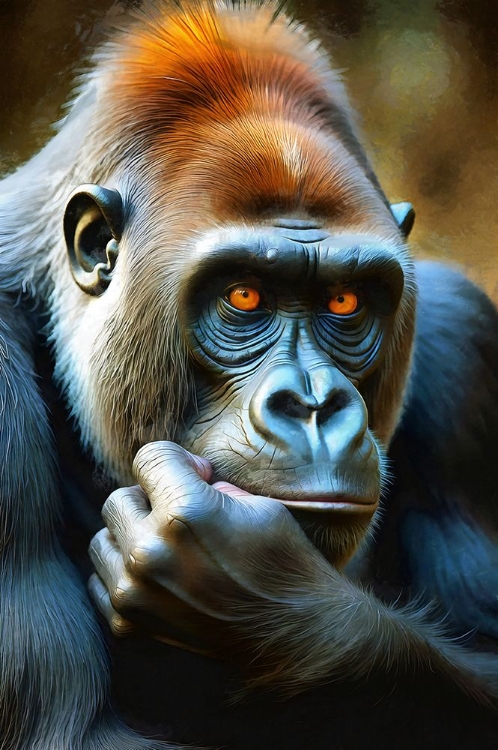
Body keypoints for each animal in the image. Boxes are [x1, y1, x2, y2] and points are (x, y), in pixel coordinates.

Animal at [1, 2, 498, 749]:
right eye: (244, 295)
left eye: (345, 302)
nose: (315, 405)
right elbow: (71, 731)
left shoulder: (464, 338)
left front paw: (271, 608)